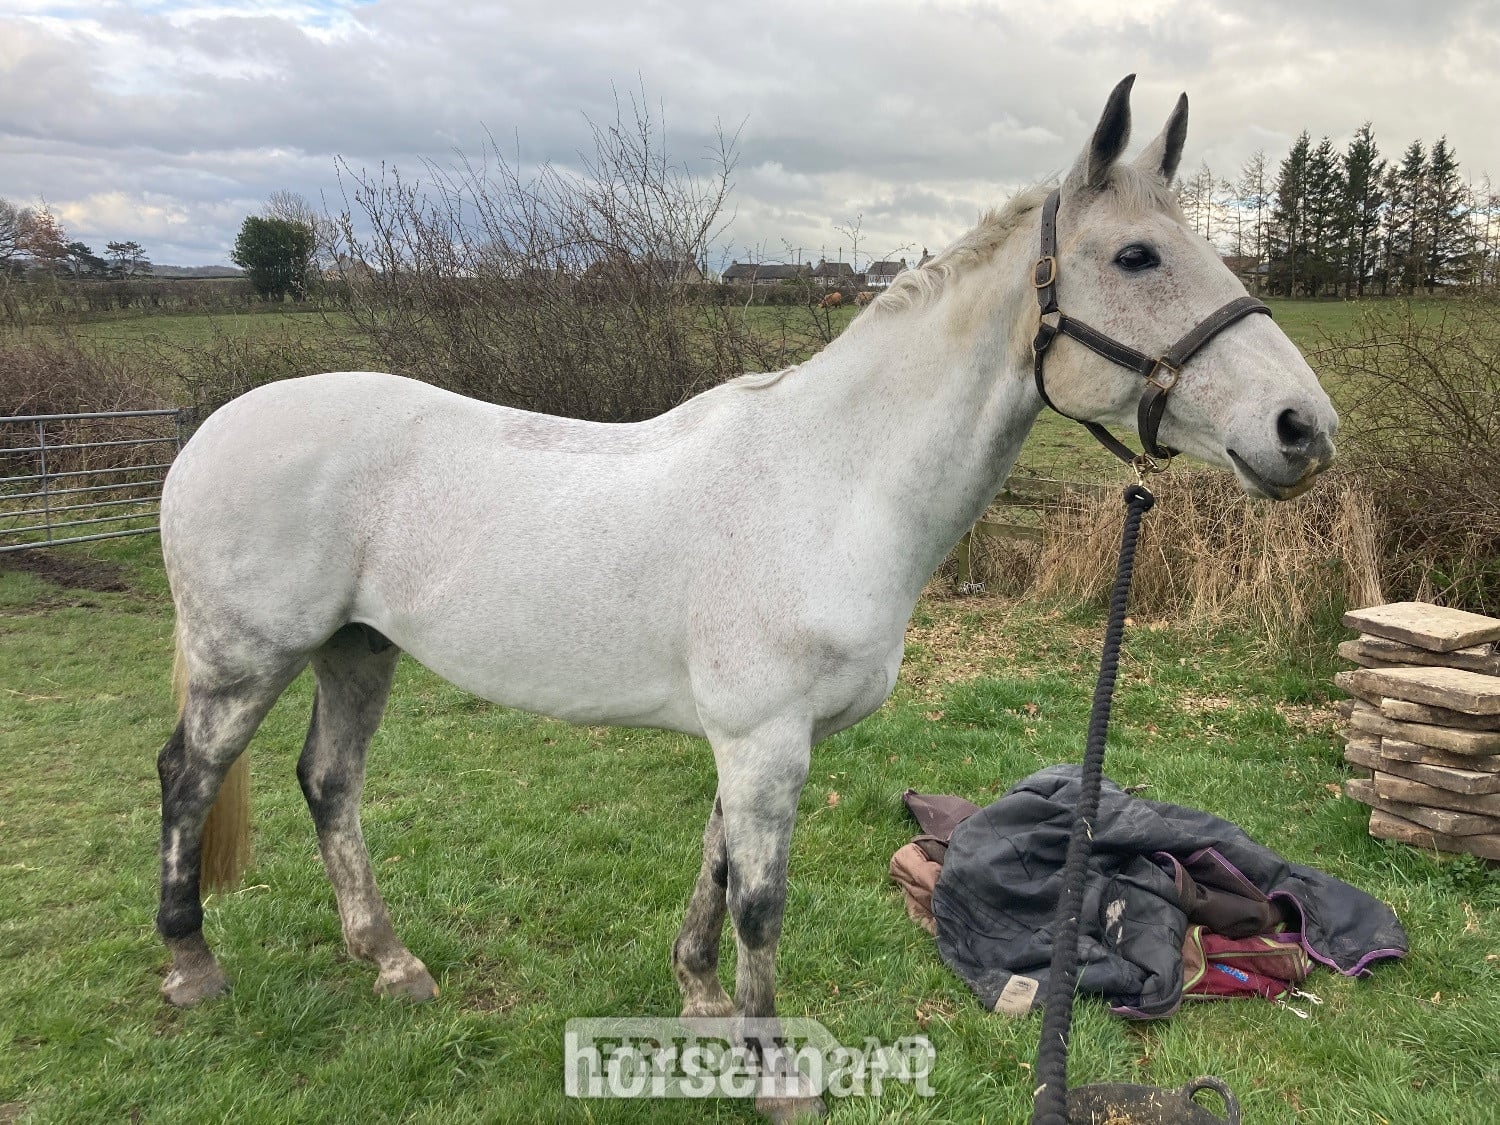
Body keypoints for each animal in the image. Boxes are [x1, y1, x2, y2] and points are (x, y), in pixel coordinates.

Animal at [154, 76, 1336, 1120]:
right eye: (1137, 256)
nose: (1303, 429)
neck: (828, 483)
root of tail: (211, 432)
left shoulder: (752, 741)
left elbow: (716, 870)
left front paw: (701, 999)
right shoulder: (767, 741)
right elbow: (761, 904)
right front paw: (775, 1073)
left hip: (357, 646)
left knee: (329, 782)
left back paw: (390, 962)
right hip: (246, 657)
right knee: (187, 779)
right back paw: (191, 968)